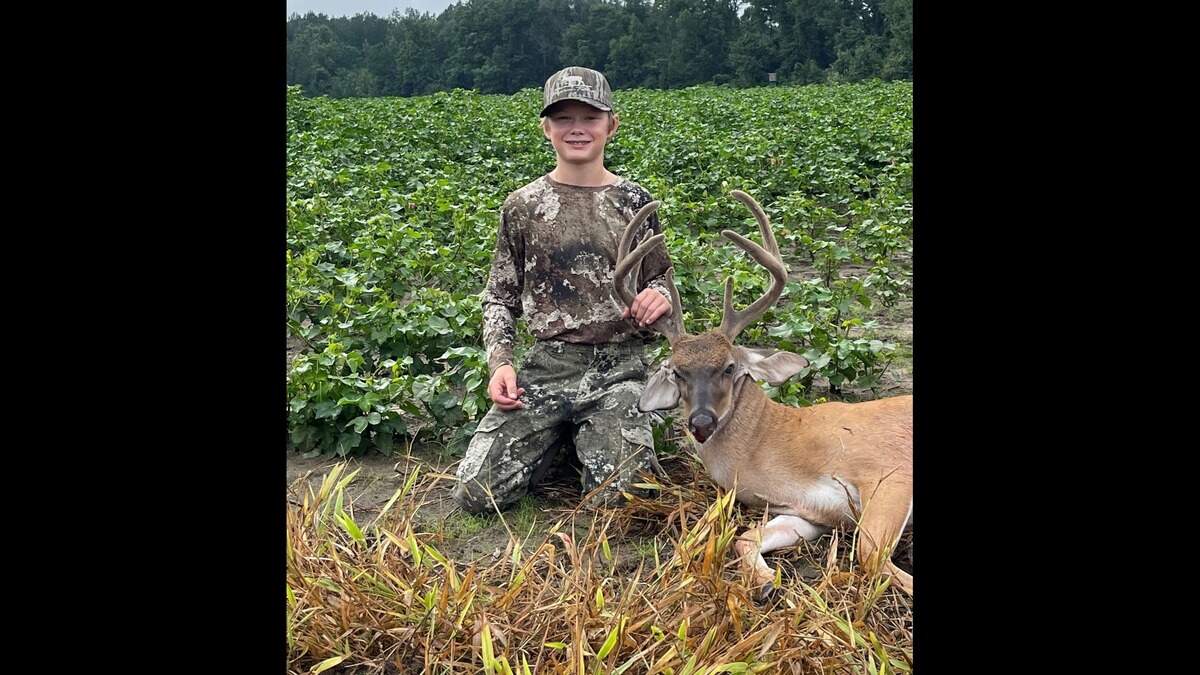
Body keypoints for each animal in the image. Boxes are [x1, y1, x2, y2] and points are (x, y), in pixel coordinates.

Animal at [613, 190, 913, 598]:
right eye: (677, 372)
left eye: (728, 367)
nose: (701, 422)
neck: (775, 445)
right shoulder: (811, 512)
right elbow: (745, 538)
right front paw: (768, 582)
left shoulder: (889, 470)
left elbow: (870, 555)